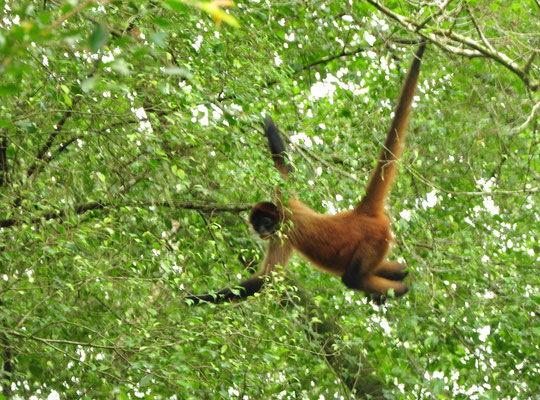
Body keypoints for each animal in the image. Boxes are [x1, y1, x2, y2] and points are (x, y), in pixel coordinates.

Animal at [188, 43, 428, 304]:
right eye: (258, 225)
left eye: (265, 223)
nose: (262, 232)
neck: (281, 214)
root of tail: (359, 213)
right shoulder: (285, 199)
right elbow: (285, 169)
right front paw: (269, 125)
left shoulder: (284, 231)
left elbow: (267, 278)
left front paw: (194, 298)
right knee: (392, 270)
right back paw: (402, 275)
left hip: (372, 242)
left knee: (352, 278)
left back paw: (400, 289)